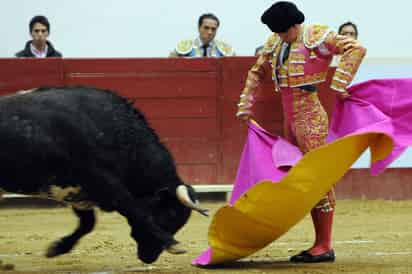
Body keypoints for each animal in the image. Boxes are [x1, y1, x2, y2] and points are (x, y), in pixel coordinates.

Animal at [0, 87, 208, 264]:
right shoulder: (104, 182)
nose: (149, 258)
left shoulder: (80, 193)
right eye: (170, 214)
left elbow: (88, 224)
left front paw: (57, 248)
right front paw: (173, 244)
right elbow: (135, 210)